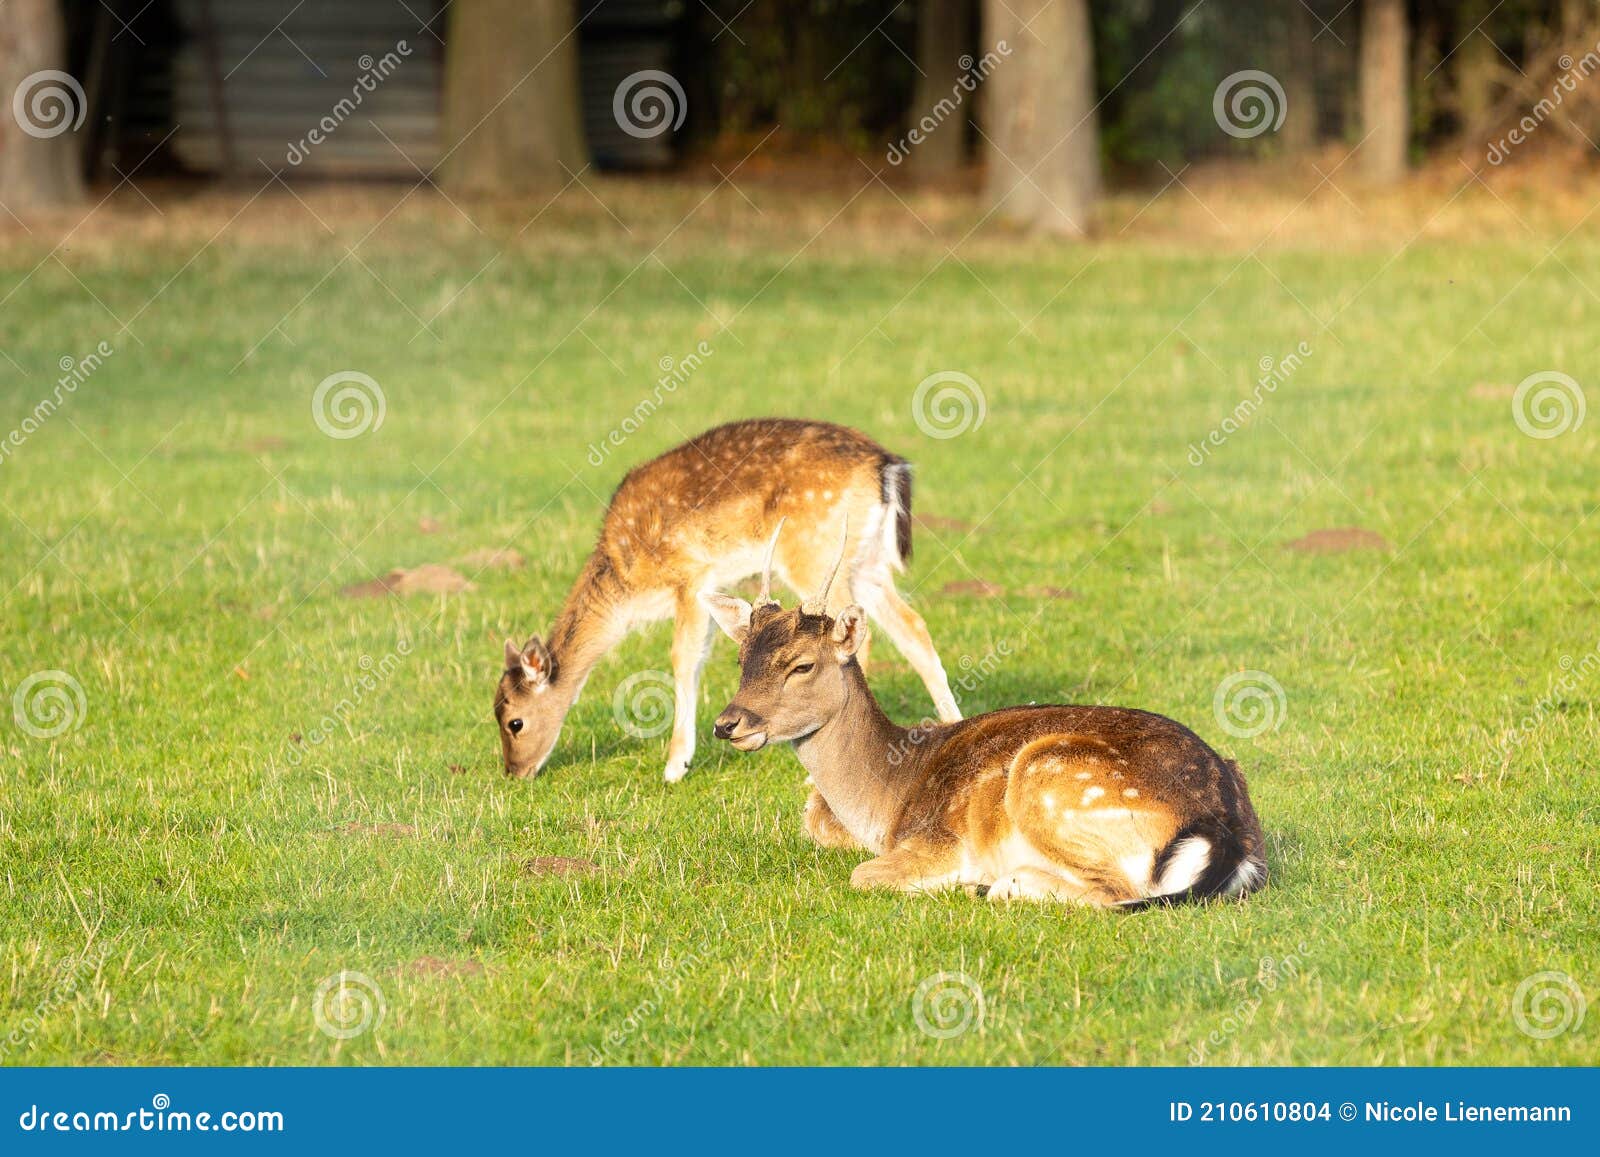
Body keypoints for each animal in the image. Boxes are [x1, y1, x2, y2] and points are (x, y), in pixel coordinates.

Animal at [495, 419, 962, 796]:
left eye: (514, 721)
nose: (514, 773)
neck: (629, 585)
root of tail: (888, 466)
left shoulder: (690, 574)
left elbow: (684, 658)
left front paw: (675, 766)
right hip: (865, 562)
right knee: (912, 626)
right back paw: (950, 724)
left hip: (813, 553)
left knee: (855, 636)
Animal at [701, 532, 1267, 906]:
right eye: (741, 658)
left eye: (801, 664)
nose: (727, 723)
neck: (889, 799)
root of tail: (1226, 831)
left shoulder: (938, 840)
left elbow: (863, 874)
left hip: (1051, 779)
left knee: (1113, 891)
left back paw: (1002, 883)